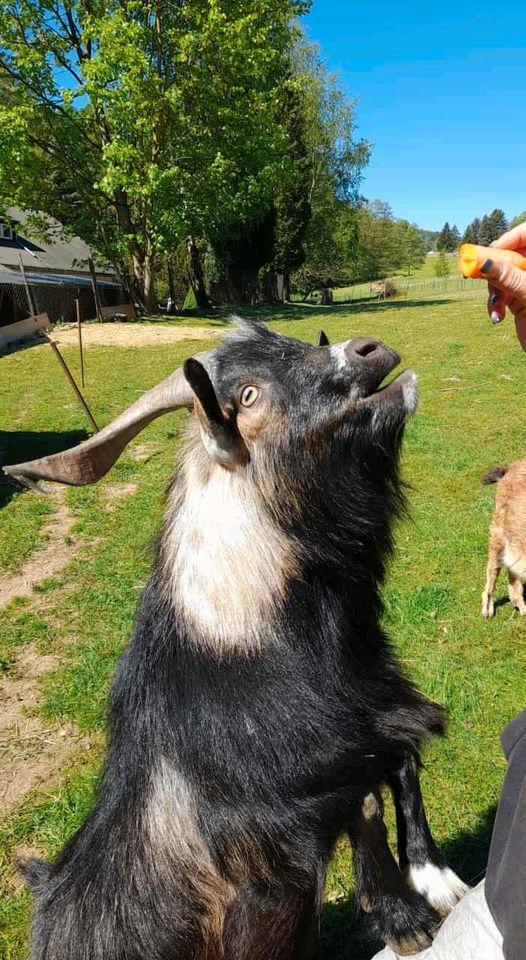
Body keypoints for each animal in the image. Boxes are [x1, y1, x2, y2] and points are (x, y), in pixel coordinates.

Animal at [4, 322, 468, 960]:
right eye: (248, 395)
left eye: (298, 344)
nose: (370, 350)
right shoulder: (280, 798)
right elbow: (366, 797)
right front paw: (404, 916)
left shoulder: (370, 709)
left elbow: (398, 754)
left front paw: (433, 875)